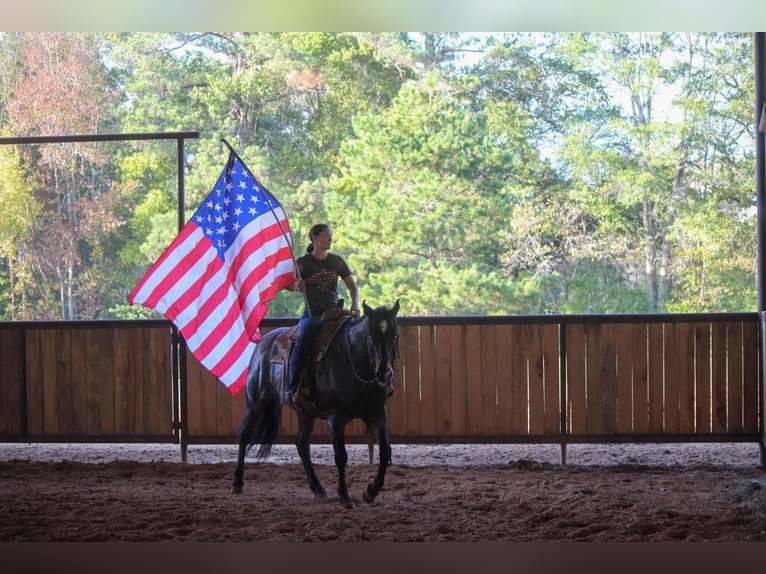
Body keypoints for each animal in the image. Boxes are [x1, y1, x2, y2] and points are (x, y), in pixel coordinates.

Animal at [232, 300, 402, 510]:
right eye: (371, 336)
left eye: (394, 334)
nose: (384, 373)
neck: (353, 359)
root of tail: (264, 342)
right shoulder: (335, 417)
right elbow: (340, 456)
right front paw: (345, 497)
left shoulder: (376, 413)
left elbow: (385, 450)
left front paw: (371, 491)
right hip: (256, 400)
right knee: (244, 433)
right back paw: (237, 482)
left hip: (304, 412)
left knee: (301, 444)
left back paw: (317, 488)